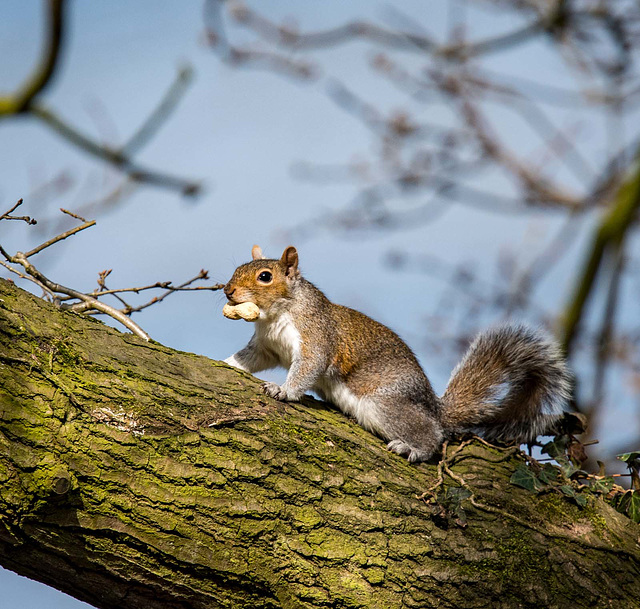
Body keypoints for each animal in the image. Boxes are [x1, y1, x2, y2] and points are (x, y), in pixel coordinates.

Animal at [222, 245, 572, 458]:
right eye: (238, 267)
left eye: (265, 277)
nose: (228, 290)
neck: (276, 315)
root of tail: (434, 406)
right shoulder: (266, 347)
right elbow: (249, 358)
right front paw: (227, 363)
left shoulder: (316, 336)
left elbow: (308, 367)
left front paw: (283, 391)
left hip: (386, 402)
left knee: (433, 434)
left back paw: (414, 449)